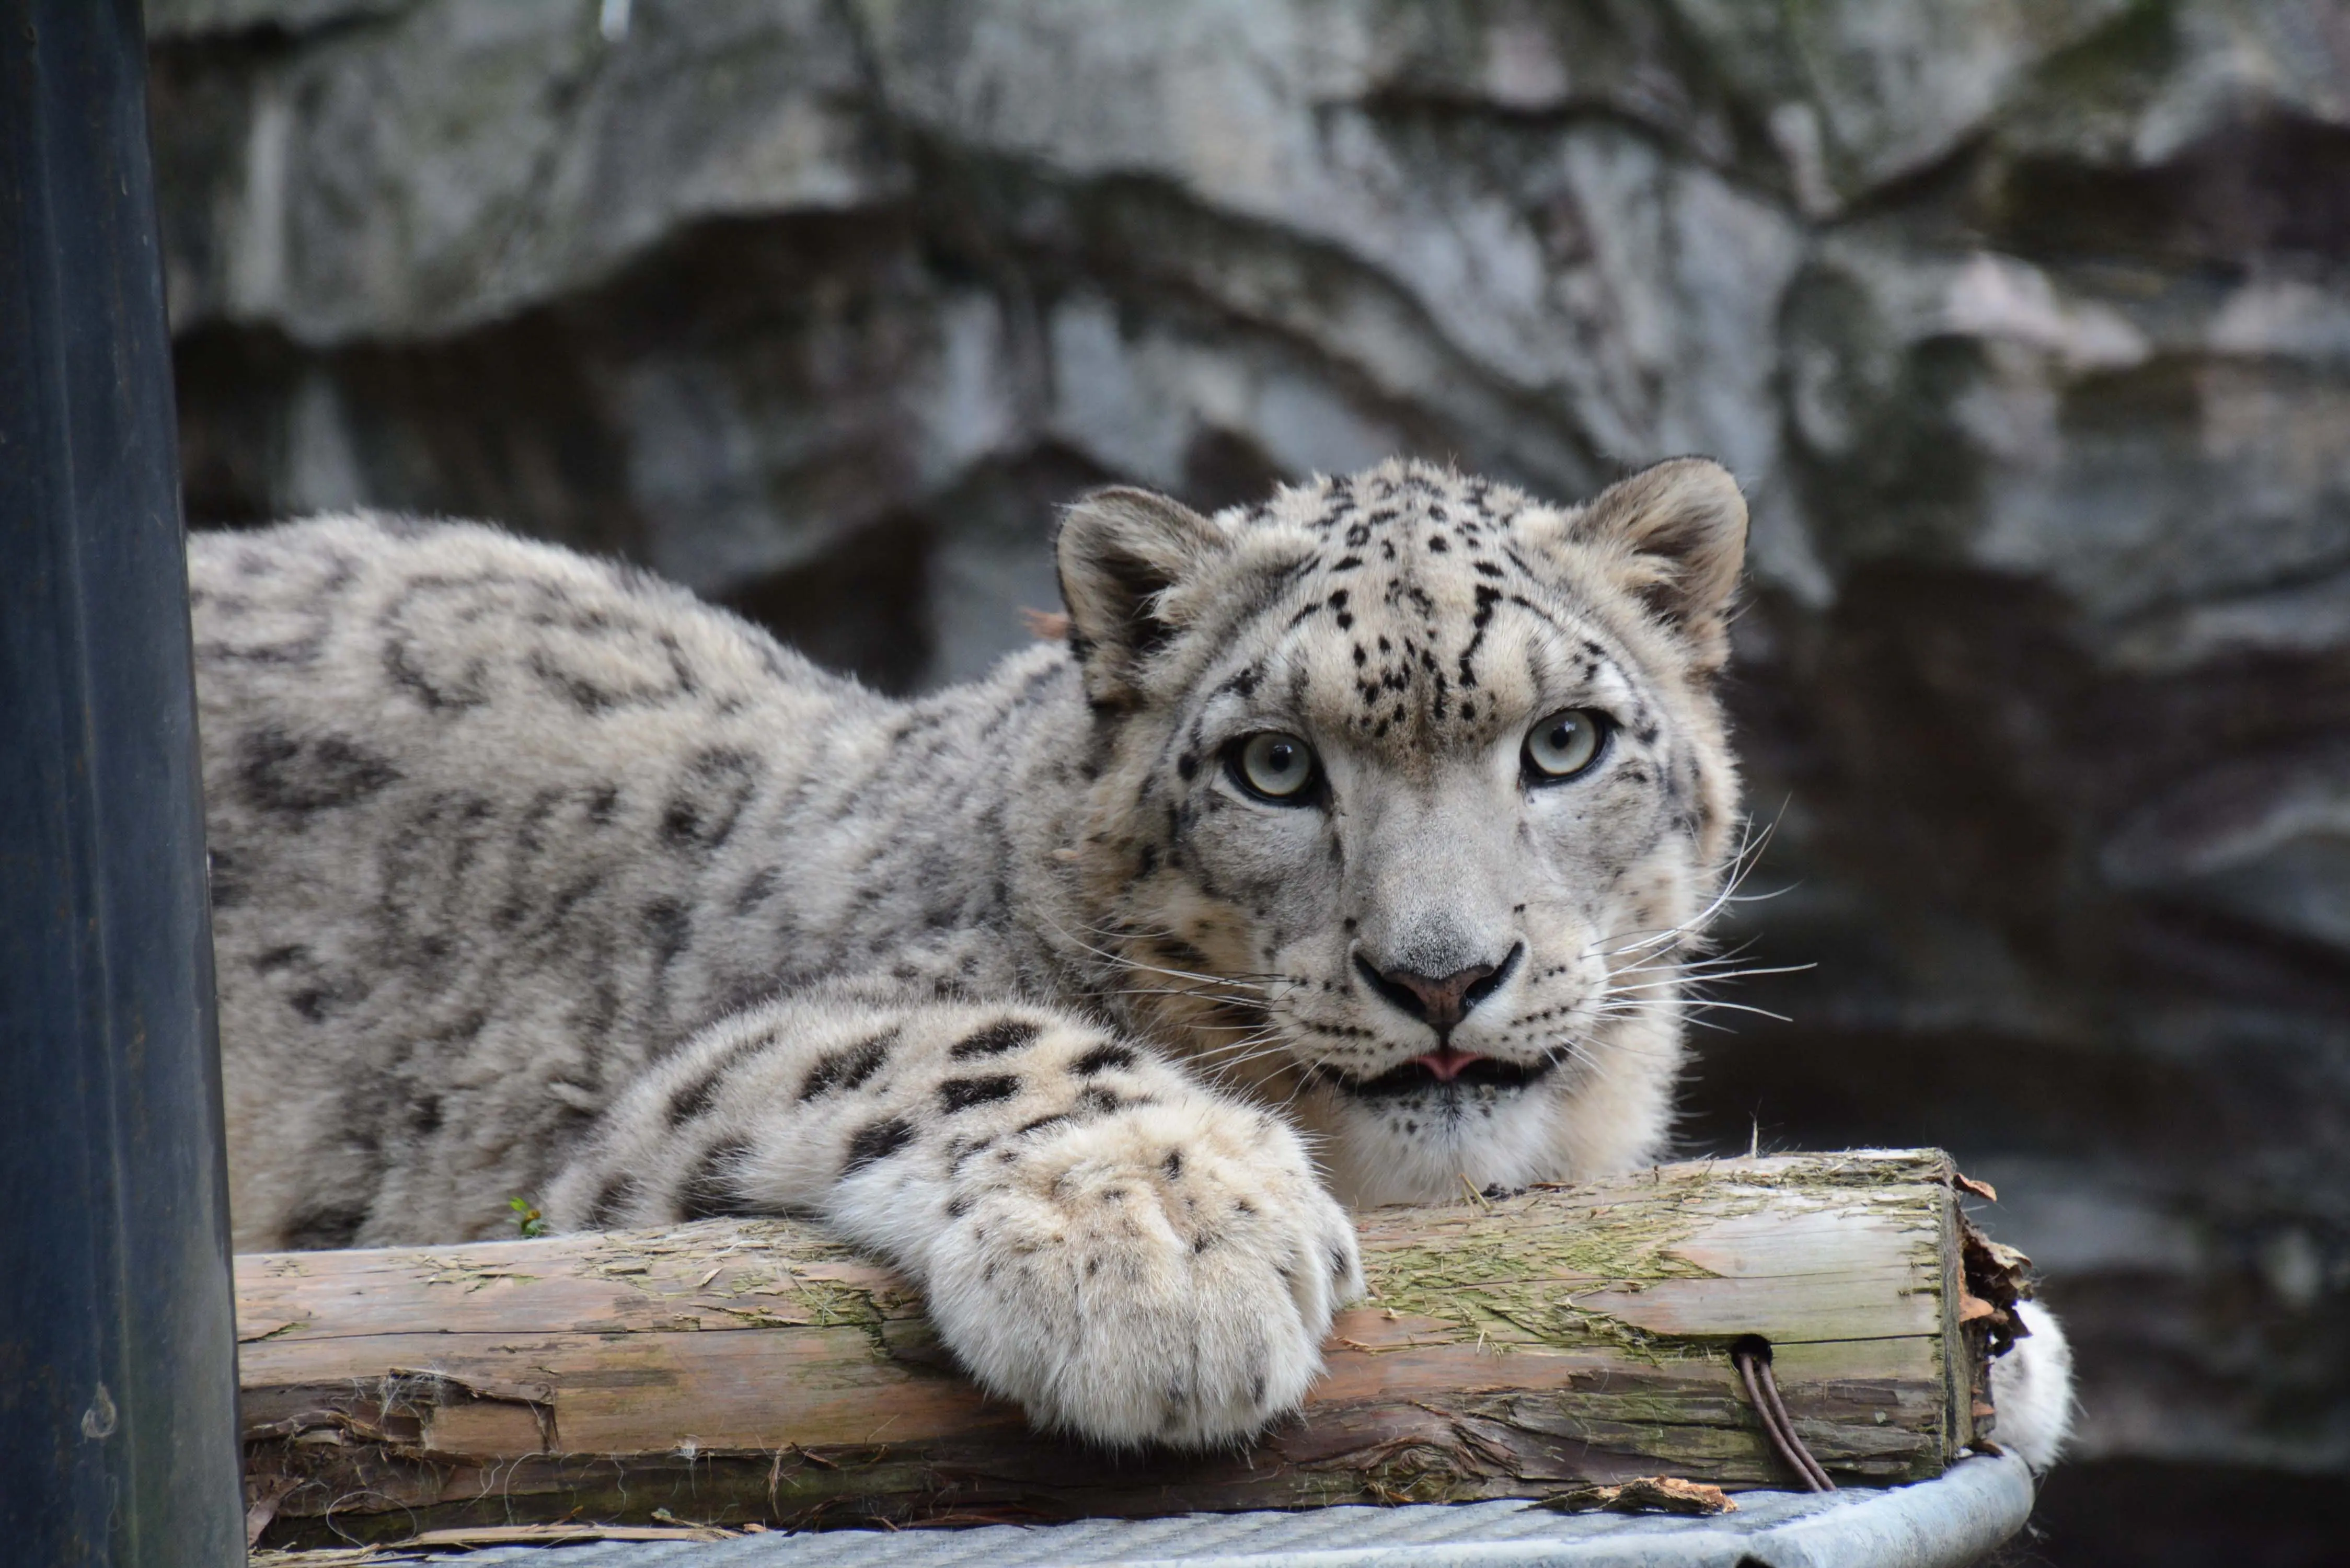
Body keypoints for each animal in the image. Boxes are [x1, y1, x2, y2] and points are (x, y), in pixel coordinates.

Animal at [197, 456, 2077, 1476]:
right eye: (1272, 767)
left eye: (1564, 743)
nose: (1441, 975)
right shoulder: (619, 1150)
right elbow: (961, 1045)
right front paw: (1172, 1256)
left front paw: (2008, 1334)